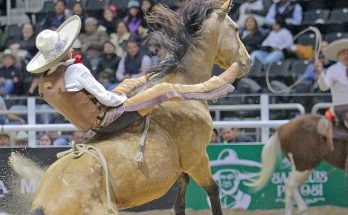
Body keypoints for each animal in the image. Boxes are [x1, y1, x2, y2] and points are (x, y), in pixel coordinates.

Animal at [29, 0, 250, 215]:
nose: (247, 61)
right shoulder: (196, 159)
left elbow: (179, 202)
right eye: (236, 28)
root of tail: (42, 204)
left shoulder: (183, 167)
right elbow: (213, 192)